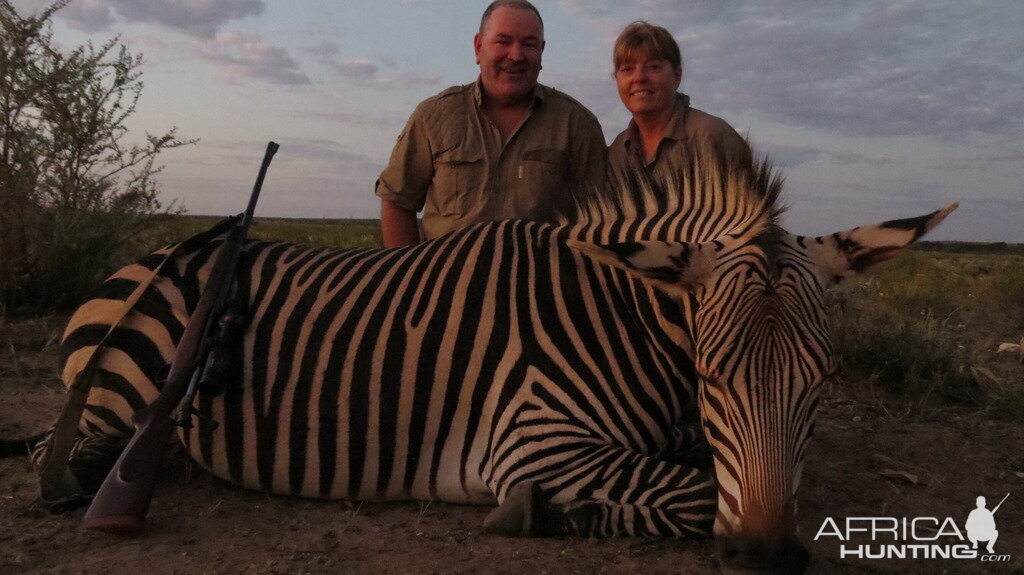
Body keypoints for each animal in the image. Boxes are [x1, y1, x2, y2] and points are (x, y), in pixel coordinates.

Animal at [9, 146, 950, 568]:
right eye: (712, 374)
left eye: (822, 383)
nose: (763, 557)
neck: (624, 317)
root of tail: (137, 260)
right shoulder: (534, 440)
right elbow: (689, 491)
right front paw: (539, 515)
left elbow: (724, 476)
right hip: (118, 390)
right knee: (78, 451)